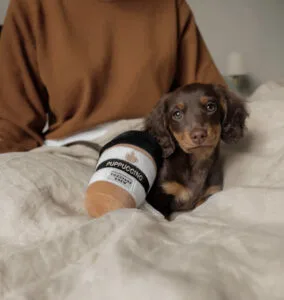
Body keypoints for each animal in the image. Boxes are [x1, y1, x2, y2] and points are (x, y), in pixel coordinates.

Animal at [145, 82, 247, 218]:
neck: (197, 161)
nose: (198, 135)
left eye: (210, 106)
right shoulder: (160, 196)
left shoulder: (209, 194)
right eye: (177, 114)